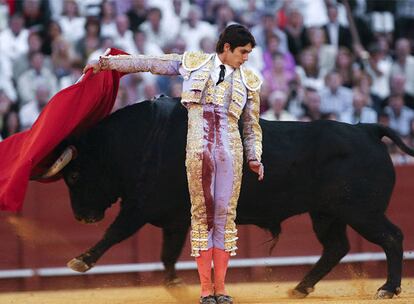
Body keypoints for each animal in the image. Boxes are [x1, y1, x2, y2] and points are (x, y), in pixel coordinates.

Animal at [55, 97, 414, 296]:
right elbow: (167, 254)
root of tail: (367, 129)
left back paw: (388, 288)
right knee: (336, 247)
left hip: (361, 212)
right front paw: (177, 286)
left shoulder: (139, 207)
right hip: (327, 215)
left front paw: (80, 261)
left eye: (73, 176)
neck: (143, 138)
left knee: (391, 237)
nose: (81, 216)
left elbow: (116, 233)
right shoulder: (175, 217)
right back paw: (300, 288)